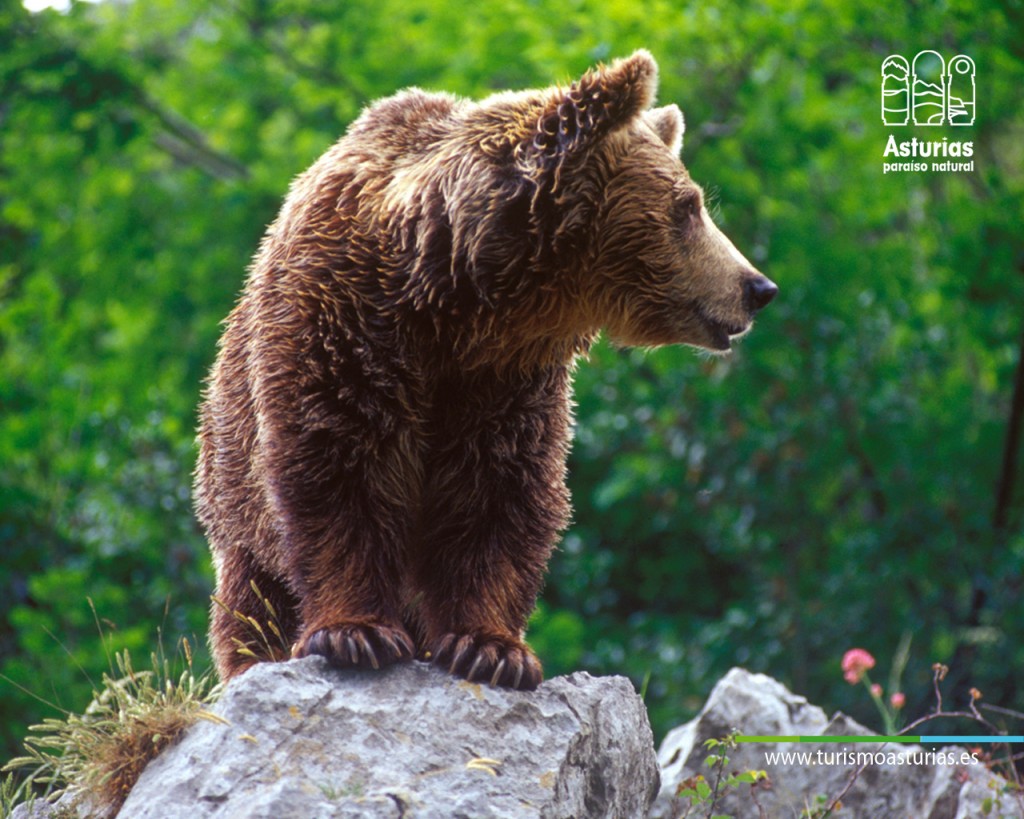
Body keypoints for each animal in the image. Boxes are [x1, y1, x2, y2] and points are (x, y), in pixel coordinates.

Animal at [195, 50, 777, 690]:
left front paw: (491, 649)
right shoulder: (341, 330)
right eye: (688, 206)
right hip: (229, 480)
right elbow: (339, 470)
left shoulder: (506, 382)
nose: (757, 287)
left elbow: (497, 497)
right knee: (252, 594)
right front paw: (355, 633)